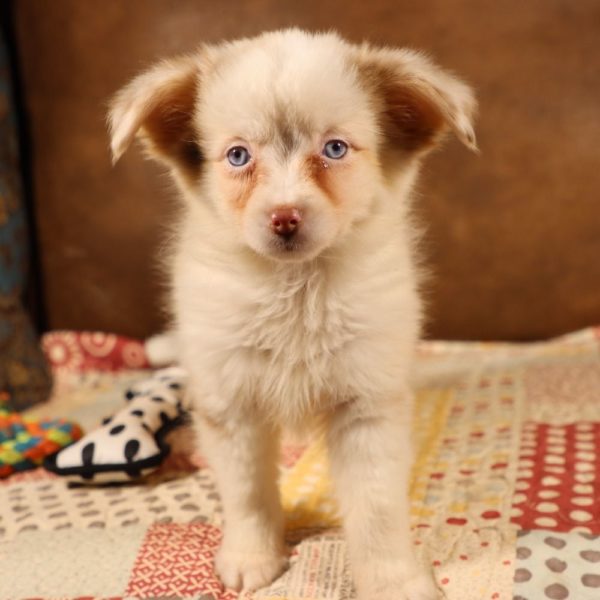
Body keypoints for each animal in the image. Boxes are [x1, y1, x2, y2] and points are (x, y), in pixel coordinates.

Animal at [106, 29, 474, 600]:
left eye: (335, 148)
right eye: (238, 156)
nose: (284, 218)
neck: (295, 293)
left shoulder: (368, 403)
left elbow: (376, 507)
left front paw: (392, 579)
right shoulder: (230, 401)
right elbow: (248, 492)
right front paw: (252, 556)